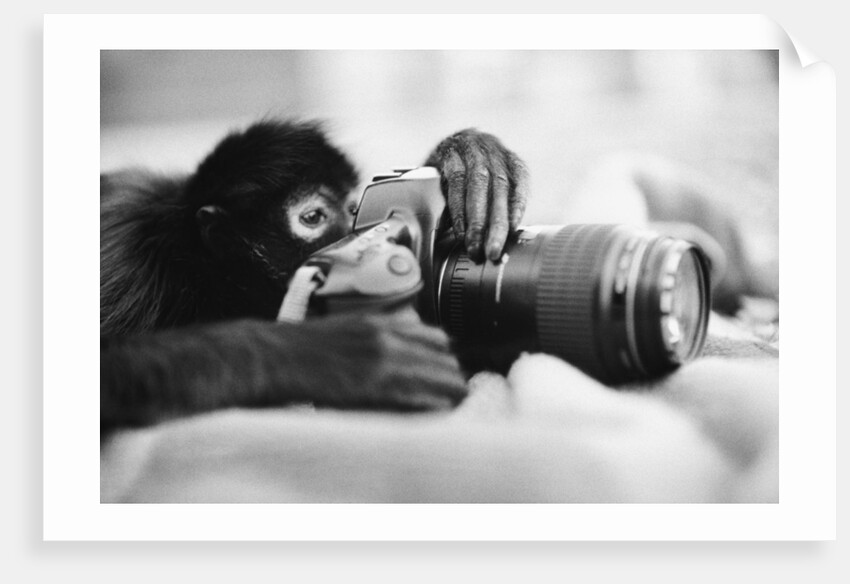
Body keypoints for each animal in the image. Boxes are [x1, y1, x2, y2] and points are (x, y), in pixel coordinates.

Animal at [100, 120, 529, 431]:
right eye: (313, 217)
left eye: (352, 206)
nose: (351, 226)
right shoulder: (128, 266)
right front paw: (343, 354)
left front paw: (468, 159)